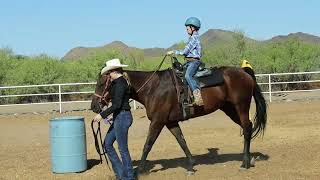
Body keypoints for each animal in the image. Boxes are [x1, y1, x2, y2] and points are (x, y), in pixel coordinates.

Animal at [90, 65, 268, 173]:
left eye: (102, 84)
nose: (94, 107)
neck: (152, 88)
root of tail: (243, 72)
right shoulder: (170, 122)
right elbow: (181, 140)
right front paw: (191, 165)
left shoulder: (157, 122)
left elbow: (148, 144)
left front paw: (139, 170)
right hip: (229, 108)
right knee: (248, 126)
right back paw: (249, 159)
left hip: (241, 106)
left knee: (247, 128)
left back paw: (244, 163)